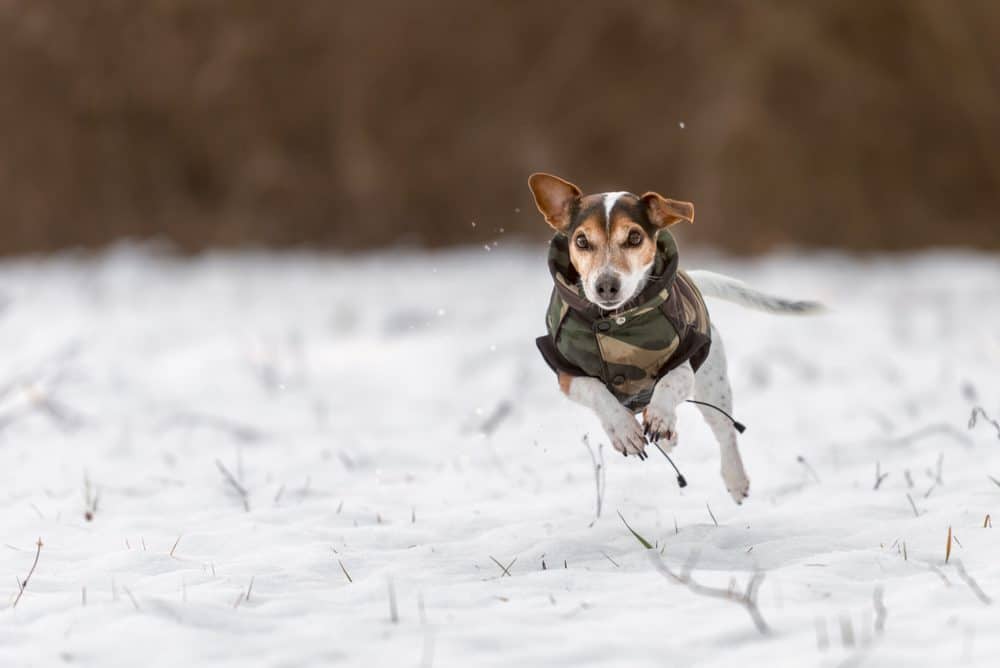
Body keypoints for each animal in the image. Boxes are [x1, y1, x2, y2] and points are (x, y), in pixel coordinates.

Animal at [532, 172, 820, 500]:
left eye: (634, 237)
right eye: (581, 241)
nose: (606, 286)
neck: (617, 320)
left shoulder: (686, 356)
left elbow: (669, 382)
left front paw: (659, 416)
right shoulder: (566, 372)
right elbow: (597, 391)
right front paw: (624, 431)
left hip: (713, 385)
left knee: (724, 431)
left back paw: (734, 477)